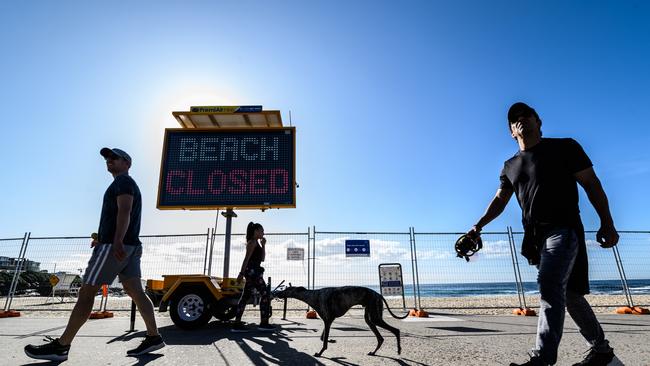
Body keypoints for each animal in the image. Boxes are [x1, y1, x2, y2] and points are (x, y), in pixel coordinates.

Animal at [272, 286, 404, 358]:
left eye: (285, 289)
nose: (275, 293)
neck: (312, 295)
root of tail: (379, 294)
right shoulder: (328, 320)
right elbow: (323, 337)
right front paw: (331, 340)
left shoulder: (327, 320)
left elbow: (324, 341)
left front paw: (320, 353)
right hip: (370, 318)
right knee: (380, 338)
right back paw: (374, 352)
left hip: (375, 317)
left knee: (396, 330)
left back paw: (398, 350)